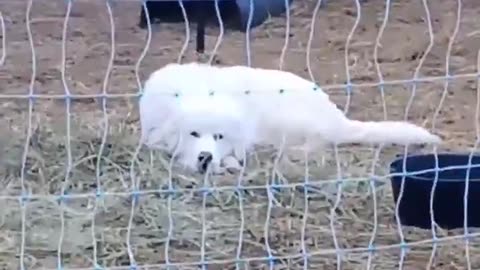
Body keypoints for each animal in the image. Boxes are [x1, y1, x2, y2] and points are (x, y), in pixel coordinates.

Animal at [139, 62, 442, 174]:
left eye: (218, 136)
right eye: (192, 134)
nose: (206, 157)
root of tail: (336, 116)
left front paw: (228, 162)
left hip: (281, 120)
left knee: (316, 145)